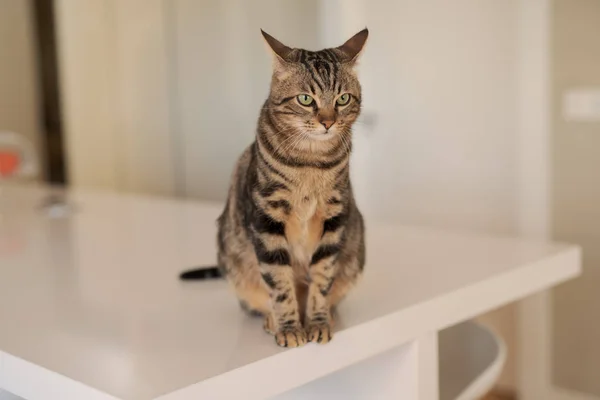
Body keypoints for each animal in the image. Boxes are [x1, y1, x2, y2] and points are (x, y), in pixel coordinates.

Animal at [180, 28, 368, 346]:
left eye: (343, 98)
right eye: (305, 99)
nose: (328, 122)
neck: (310, 165)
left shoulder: (334, 218)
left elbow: (322, 279)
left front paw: (318, 322)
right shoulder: (266, 220)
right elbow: (279, 284)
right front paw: (290, 328)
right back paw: (272, 320)